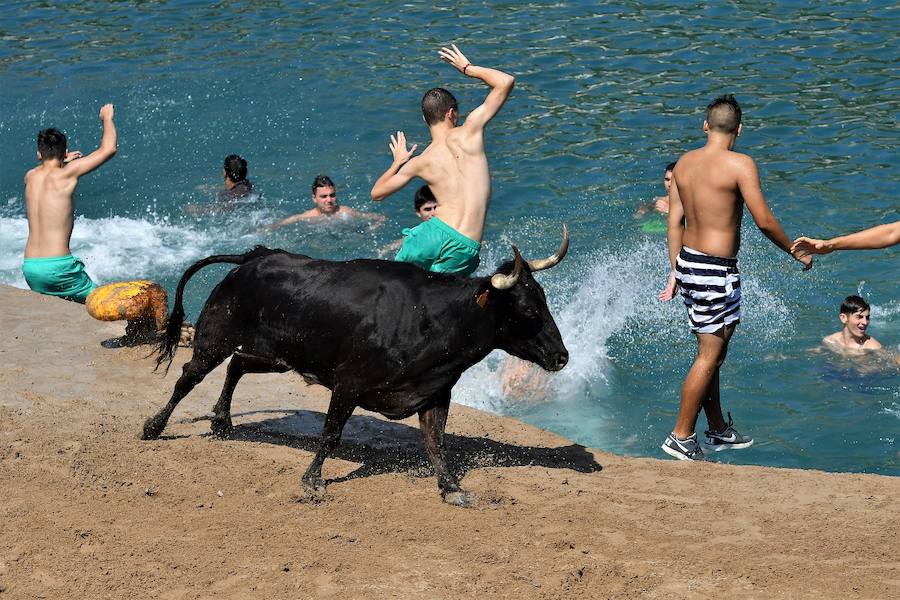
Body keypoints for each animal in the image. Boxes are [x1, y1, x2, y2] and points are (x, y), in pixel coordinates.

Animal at [146, 230, 568, 506]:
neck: (432, 318)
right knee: (189, 376)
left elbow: (436, 442)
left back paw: (222, 421)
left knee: (237, 365)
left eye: (543, 299)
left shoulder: (434, 391)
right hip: (216, 336)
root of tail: (255, 257)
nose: (562, 357)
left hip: (276, 355)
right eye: (527, 309)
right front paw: (312, 481)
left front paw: (451, 489)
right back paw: (154, 427)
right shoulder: (348, 383)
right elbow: (331, 433)